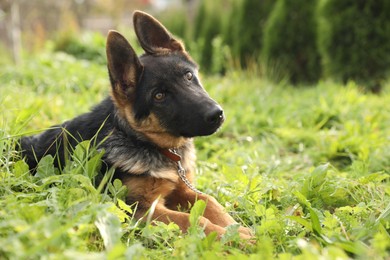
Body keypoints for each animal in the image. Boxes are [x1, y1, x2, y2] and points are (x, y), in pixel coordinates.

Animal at [20, 11, 253, 240]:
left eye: (188, 76)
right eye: (159, 96)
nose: (217, 114)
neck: (142, 140)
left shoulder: (181, 189)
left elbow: (210, 202)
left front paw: (237, 228)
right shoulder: (140, 209)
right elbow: (194, 219)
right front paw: (238, 239)